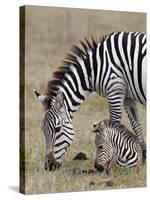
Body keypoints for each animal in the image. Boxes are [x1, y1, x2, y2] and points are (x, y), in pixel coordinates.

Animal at [34, 31, 146, 170]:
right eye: (42, 130)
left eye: (57, 129)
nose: (49, 166)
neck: (95, 68)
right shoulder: (127, 97)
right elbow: (136, 124)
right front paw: (143, 158)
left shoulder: (114, 90)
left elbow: (114, 123)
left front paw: (114, 161)